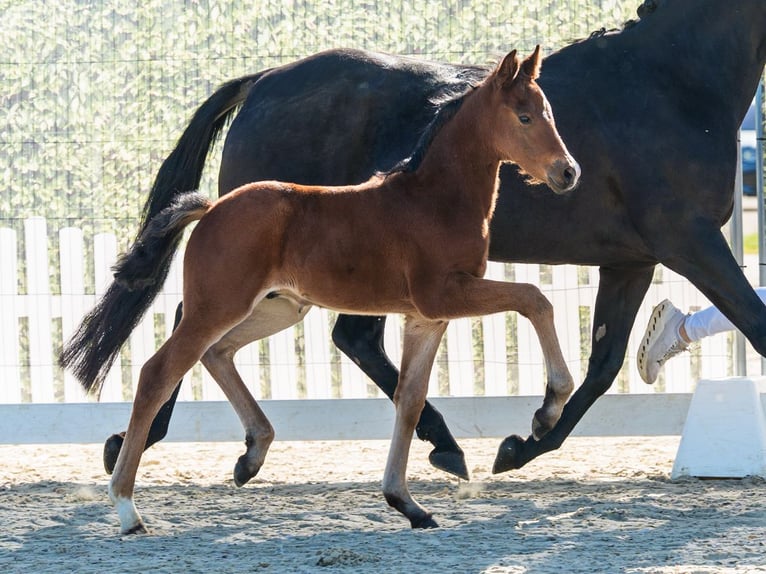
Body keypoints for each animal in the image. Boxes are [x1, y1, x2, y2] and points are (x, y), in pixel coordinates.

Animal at [62, 0, 766, 480]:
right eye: (527, 114)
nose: (569, 173)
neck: (669, 81)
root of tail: (263, 81)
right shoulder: (690, 241)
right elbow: (753, 325)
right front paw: (522, 439)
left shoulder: (633, 260)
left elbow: (603, 365)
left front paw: (521, 444)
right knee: (203, 324)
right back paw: (137, 444)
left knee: (344, 338)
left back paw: (441, 444)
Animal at [89, 47, 579, 534]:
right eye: (523, 117)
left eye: (550, 113)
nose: (568, 172)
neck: (433, 200)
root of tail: (211, 207)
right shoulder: (444, 294)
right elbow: (535, 299)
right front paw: (546, 411)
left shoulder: (426, 317)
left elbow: (409, 399)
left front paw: (407, 503)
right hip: (217, 306)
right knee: (158, 372)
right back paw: (128, 509)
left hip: (279, 308)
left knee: (216, 352)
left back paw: (252, 454)